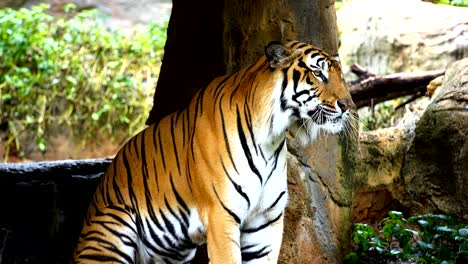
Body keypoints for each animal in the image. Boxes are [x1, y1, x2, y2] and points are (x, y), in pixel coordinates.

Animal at [72, 40, 354, 262]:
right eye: (318, 73)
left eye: (341, 76)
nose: (348, 105)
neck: (272, 138)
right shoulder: (222, 216)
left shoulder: (265, 223)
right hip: (113, 229)